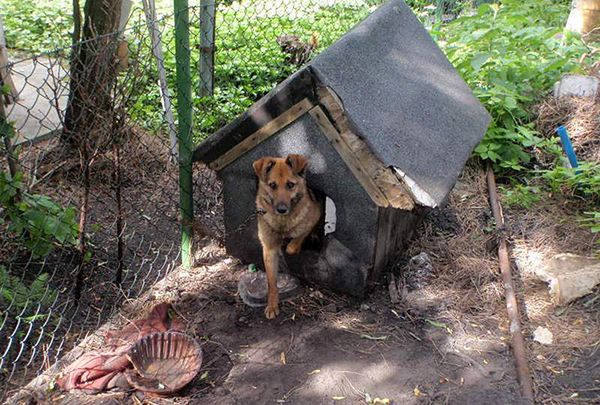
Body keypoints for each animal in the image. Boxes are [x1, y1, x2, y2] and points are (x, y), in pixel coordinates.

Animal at [252, 153, 322, 318]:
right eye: (272, 185)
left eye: (290, 185)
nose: (282, 209)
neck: (282, 222)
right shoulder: (269, 249)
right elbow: (271, 282)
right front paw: (272, 305)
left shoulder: (315, 215)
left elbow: (297, 238)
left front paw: (292, 246)